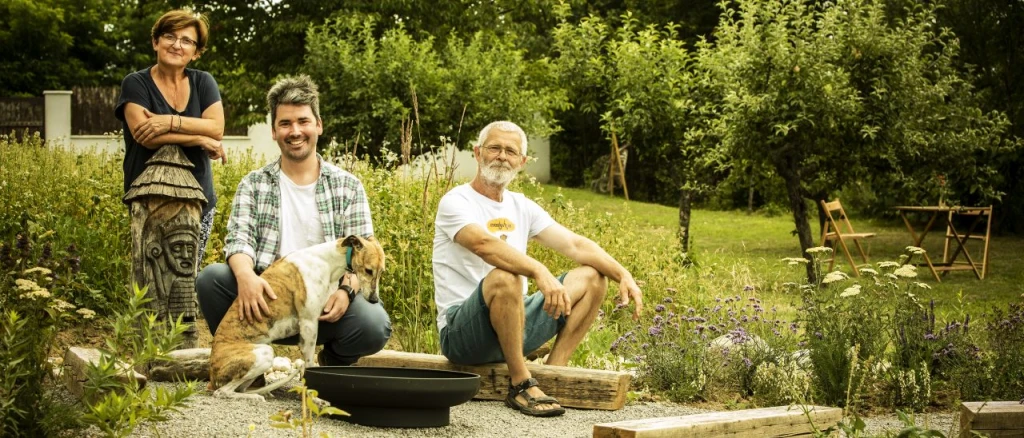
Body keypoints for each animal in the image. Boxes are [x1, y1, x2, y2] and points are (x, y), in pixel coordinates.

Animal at [207, 236, 385, 401]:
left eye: (381, 271)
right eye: (368, 270)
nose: (374, 299)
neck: (327, 261)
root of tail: (211, 374)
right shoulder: (309, 325)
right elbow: (310, 365)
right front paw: (314, 398)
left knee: (239, 389)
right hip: (264, 353)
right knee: (221, 392)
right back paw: (255, 396)